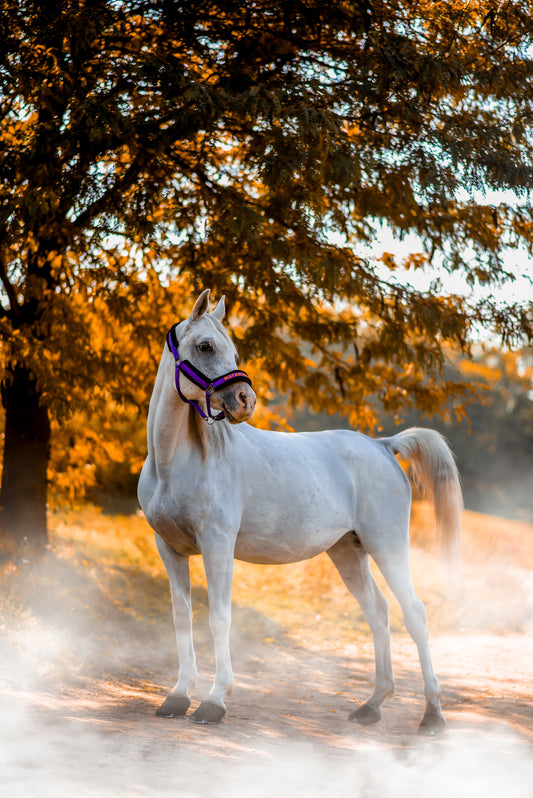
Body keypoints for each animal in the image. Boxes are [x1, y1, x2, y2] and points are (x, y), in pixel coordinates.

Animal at [138, 290, 462, 736]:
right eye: (205, 346)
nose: (245, 401)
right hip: (348, 551)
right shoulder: (169, 549)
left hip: (388, 546)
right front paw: (177, 696)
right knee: (377, 612)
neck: (176, 464)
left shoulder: (217, 548)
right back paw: (372, 706)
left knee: (414, 613)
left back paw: (432, 714)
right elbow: (181, 617)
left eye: (232, 350)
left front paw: (214, 701)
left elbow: (219, 619)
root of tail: (382, 445)